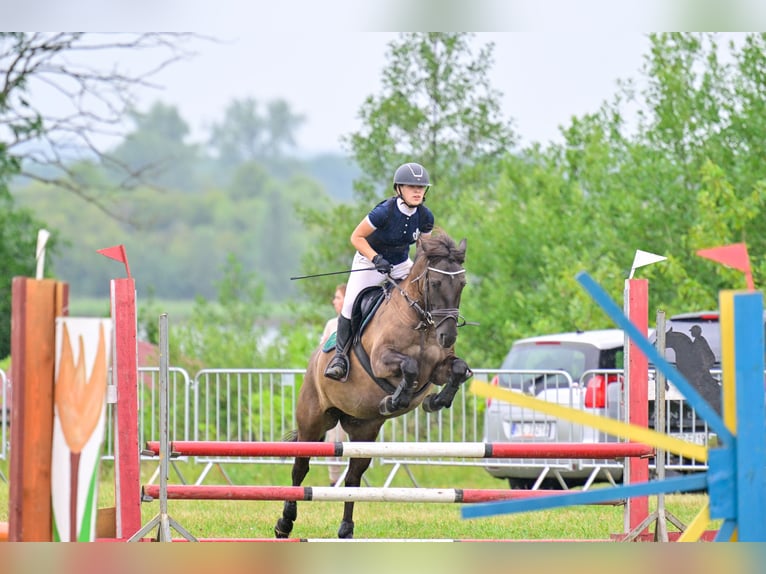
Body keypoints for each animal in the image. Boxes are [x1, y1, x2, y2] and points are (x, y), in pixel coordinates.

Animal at [276, 231, 474, 540]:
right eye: (436, 283)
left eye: (462, 284)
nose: (448, 336)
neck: (421, 323)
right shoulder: (382, 361)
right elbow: (409, 366)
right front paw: (394, 400)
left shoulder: (438, 369)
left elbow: (457, 369)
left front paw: (435, 402)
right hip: (313, 421)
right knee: (300, 469)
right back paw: (284, 524)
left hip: (364, 430)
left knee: (353, 478)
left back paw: (346, 529)